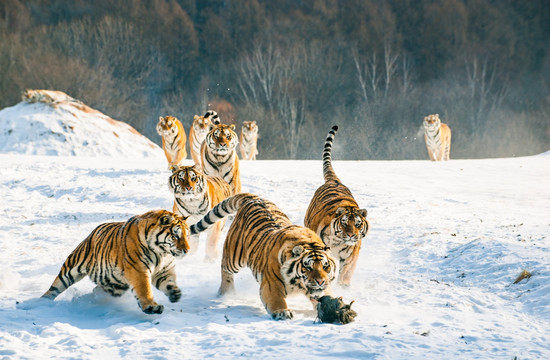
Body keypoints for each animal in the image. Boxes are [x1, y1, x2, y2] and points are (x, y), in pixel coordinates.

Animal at [41, 210, 192, 314]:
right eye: (175, 236)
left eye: (187, 235)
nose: (187, 250)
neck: (162, 253)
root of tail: (93, 232)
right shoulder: (138, 270)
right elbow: (145, 289)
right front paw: (152, 307)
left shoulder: (164, 271)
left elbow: (168, 282)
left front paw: (175, 294)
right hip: (71, 268)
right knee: (55, 288)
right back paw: (41, 302)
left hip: (114, 286)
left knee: (98, 290)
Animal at [190, 193, 336, 320]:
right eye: (308, 267)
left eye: (325, 267)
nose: (320, 282)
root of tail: (254, 198)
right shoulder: (272, 284)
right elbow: (277, 300)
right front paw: (283, 312)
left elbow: (325, 294)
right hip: (234, 257)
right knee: (224, 268)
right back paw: (226, 292)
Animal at [306, 126, 370, 286]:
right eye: (344, 223)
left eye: (358, 224)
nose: (351, 235)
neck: (338, 242)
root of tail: (334, 181)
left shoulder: (351, 255)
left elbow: (346, 272)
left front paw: (343, 286)